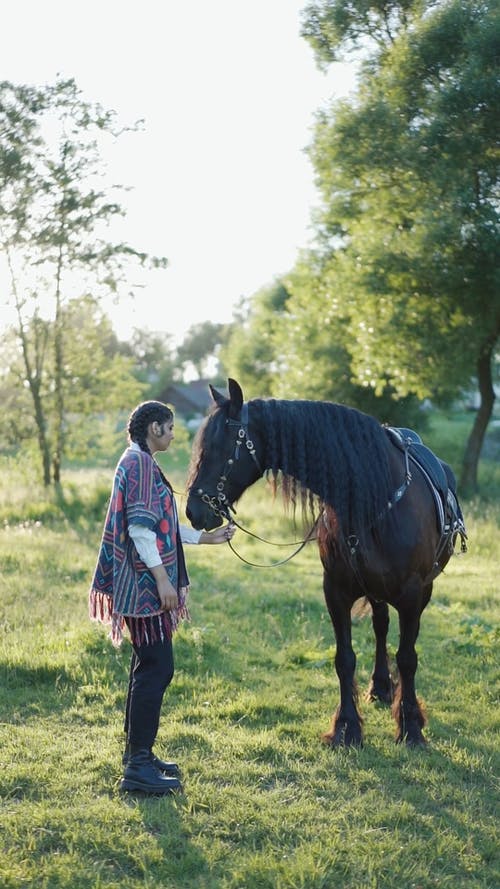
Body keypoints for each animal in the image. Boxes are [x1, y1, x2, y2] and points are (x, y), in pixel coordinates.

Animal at [186, 378, 466, 744]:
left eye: (219, 447)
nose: (193, 511)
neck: (374, 501)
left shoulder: (411, 593)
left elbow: (407, 658)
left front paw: (411, 728)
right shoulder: (335, 591)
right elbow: (344, 659)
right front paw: (347, 727)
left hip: (421, 591)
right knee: (380, 626)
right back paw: (380, 687)